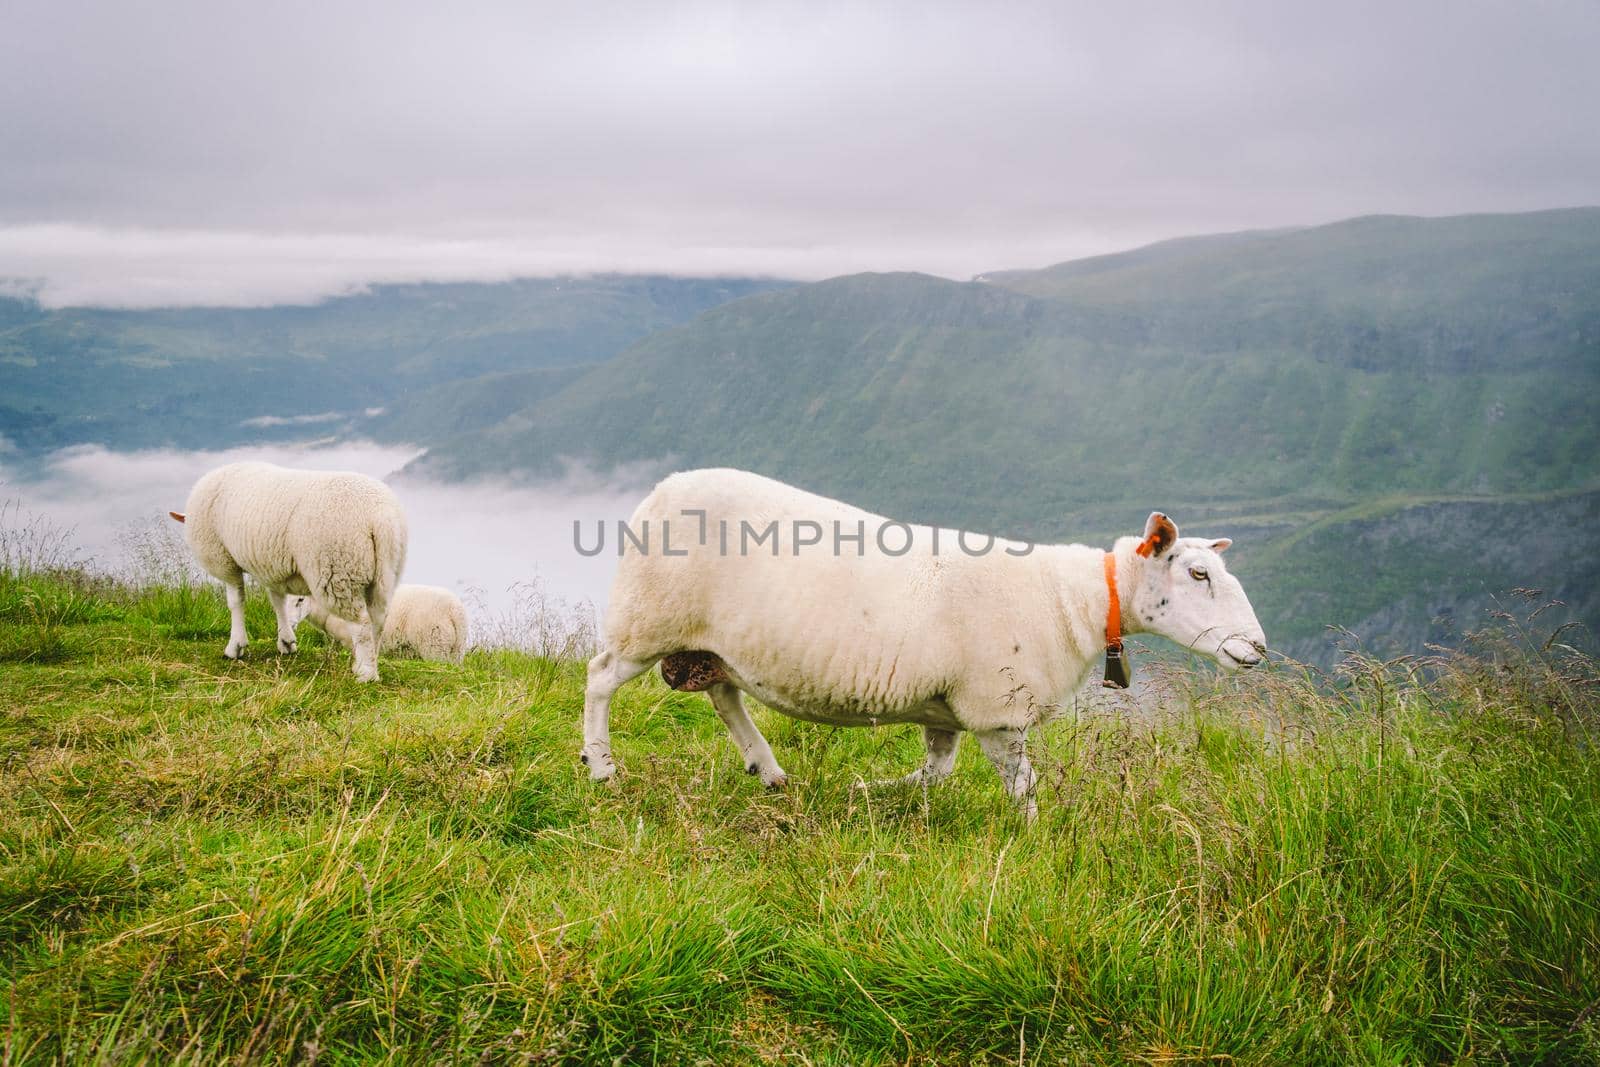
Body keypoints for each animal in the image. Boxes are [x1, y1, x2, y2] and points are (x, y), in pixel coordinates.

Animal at [165, 460, 406, 681]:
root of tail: (378, 517)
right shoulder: (273, 567)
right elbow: (278, 602)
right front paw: (286, 641)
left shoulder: (224, 561)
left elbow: (236, 601)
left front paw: (236, 646)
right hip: (384, 574)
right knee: (378, 619)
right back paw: (369, 663)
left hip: (336, 569)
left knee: (361, 623)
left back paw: (366, 674)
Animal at [582, 470, 1267, 819]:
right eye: (1198, 574)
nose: (1257, 647)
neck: (1077, 601)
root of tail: (658, 489)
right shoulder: (998, 711)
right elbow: (1024, 786)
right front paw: (1035, 839)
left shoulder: (950, 708)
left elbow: (935, 773)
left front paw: (870, 791)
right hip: (649, 619)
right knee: (599, 677)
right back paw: (602, 769)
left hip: (713, 642)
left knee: (724, 695)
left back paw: (768, 770)